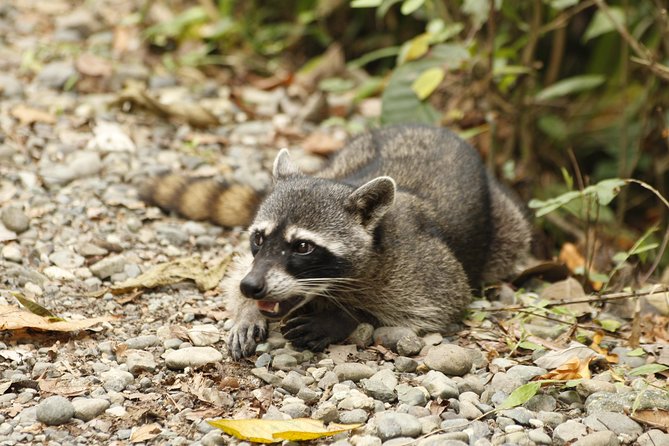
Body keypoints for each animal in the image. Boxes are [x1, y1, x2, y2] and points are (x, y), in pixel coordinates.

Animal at [142, 124, 532, 358]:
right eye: (258, 238)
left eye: (302, 247)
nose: (252, 287)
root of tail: (430, 126)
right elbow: (236, 270)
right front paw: (247, 309)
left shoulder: (423, 264)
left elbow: (440, 302)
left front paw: (343, 317)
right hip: (348, 153)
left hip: (507, 224)